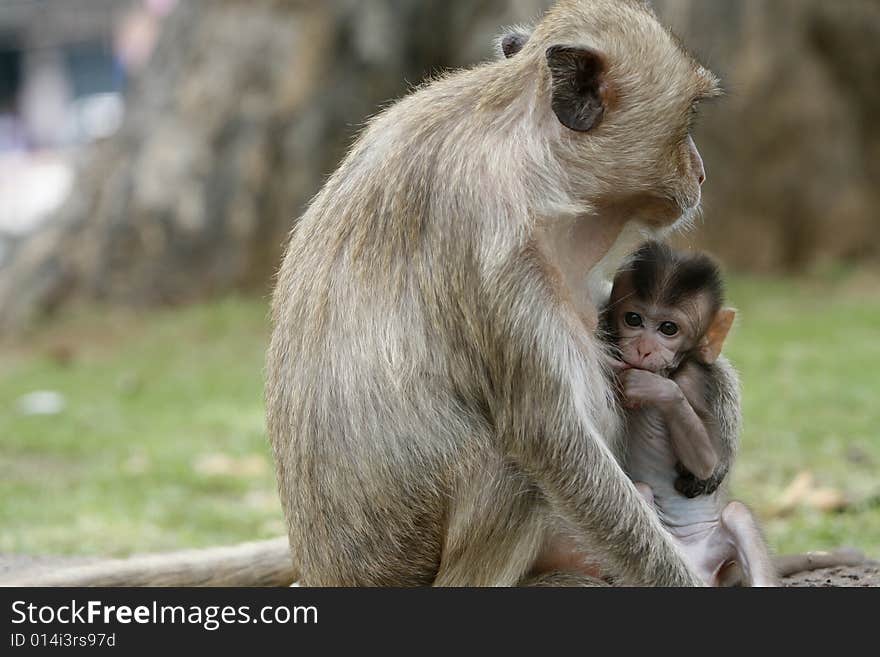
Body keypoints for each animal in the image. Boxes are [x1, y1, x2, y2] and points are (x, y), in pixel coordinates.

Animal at [266, 0, 716, 584]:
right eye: (689, 120)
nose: (701, 172)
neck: (522, 143)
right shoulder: (492, 245)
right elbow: (550, 443)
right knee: (512, 471)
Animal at [604, 241, 776, 584]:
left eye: (668, 328)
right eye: (633, 319)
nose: (643, 348)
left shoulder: (692, 380)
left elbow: (706, 462)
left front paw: (654, 388)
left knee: (737, 513)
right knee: (641, 492)